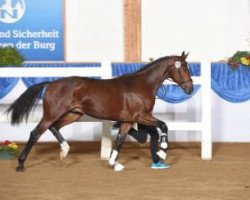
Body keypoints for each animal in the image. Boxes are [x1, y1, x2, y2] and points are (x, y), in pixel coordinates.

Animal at [6, 51, 193, 172]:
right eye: (184, 68)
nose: (190, 88)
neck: (142, 85)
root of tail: (51, 83)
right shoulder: (140, 116)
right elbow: (164, 125)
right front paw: (162, 150)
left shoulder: (128, 120)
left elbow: (120, 140)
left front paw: (114, 163)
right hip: (52, 114)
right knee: (35, 133)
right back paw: (20, 165)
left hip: (74, 114)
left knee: (54, 128)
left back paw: (65, 150)